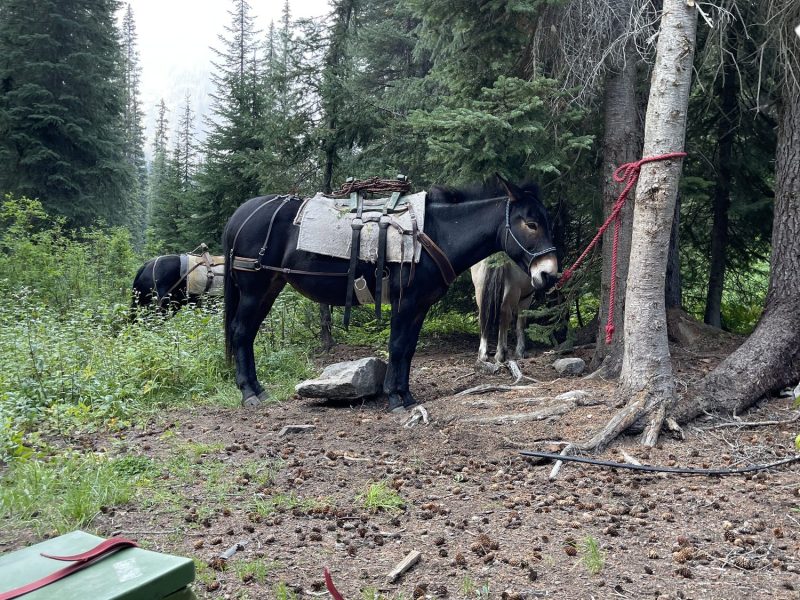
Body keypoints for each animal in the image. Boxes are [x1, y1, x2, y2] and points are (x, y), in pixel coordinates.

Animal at [223, 174, 558, 412]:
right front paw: (394, 399)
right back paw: (249, 393)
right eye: (530, 223)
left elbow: (408, 349)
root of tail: (241, 214)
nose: (549, 274)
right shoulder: (403, 303)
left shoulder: (419, 306)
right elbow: (396, 346)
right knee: (240, 332)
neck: (433, 234)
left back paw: (258, 389)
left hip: (269, 288)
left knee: (247, 334)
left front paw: (406, 395)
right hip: (253, 290)